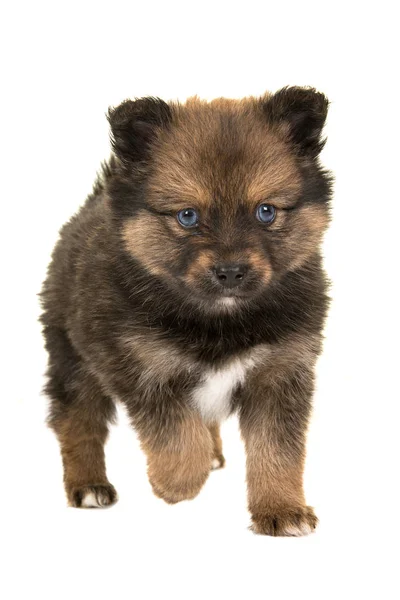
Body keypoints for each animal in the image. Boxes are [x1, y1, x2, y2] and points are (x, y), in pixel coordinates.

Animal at [39, 86, 332, 536]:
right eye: (188, 216)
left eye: (265, 211)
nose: (231, 272)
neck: (218, 318)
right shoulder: (139, 367)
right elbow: (177, 433)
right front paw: (178, 482)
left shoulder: (281, 372)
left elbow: (277, 449)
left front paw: (282, 508)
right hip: (73, 357)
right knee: (78, 421)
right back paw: (88, 484)